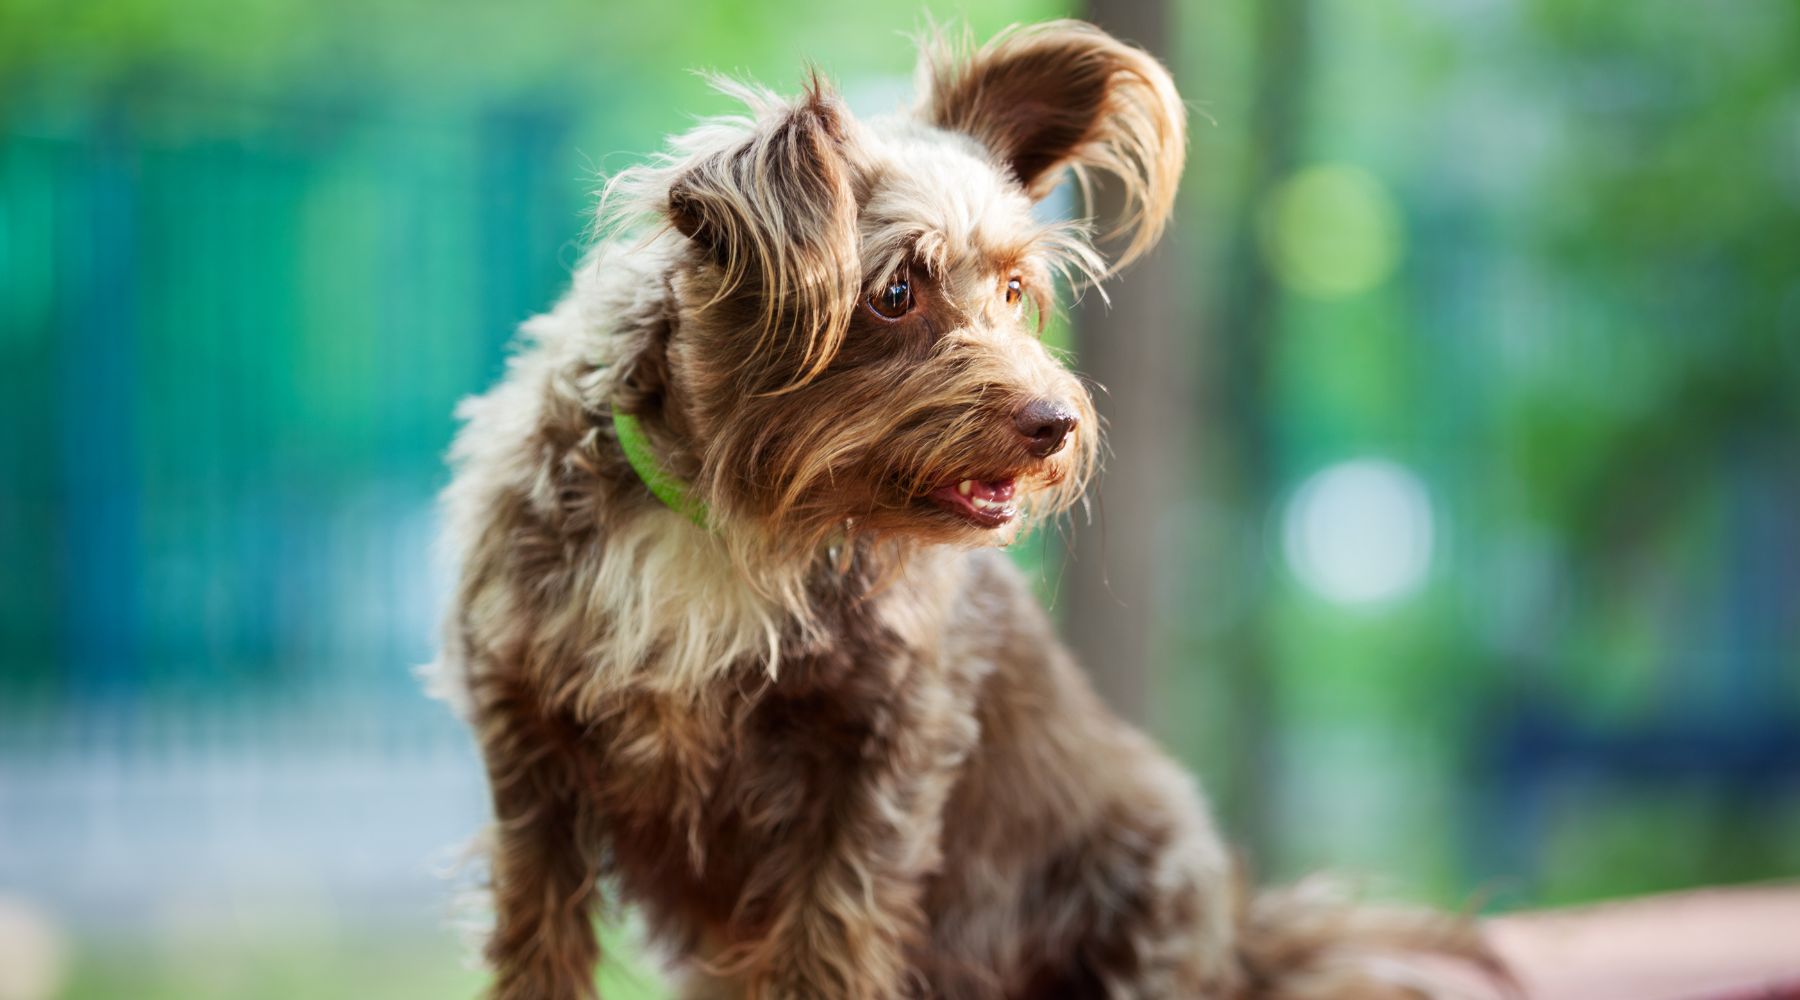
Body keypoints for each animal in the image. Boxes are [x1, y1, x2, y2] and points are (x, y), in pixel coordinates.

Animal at [435, 19, 1504, 1000]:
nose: (1058, 423)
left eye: (1017, 288)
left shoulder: (875, 766)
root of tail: (1241, 946)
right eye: (896, 290)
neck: (723, 522)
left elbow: (827, 948)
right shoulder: (530, 757)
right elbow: (538, 944)